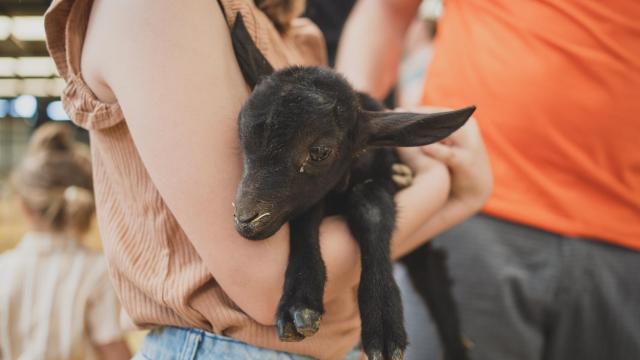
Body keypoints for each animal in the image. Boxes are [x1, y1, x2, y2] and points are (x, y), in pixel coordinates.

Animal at [228, 14, 472, 360]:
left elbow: (371, 206)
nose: (247, 219)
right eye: (241, 132)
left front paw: (383, 320)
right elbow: (306, 215)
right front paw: (300, 303)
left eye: (319, 151)